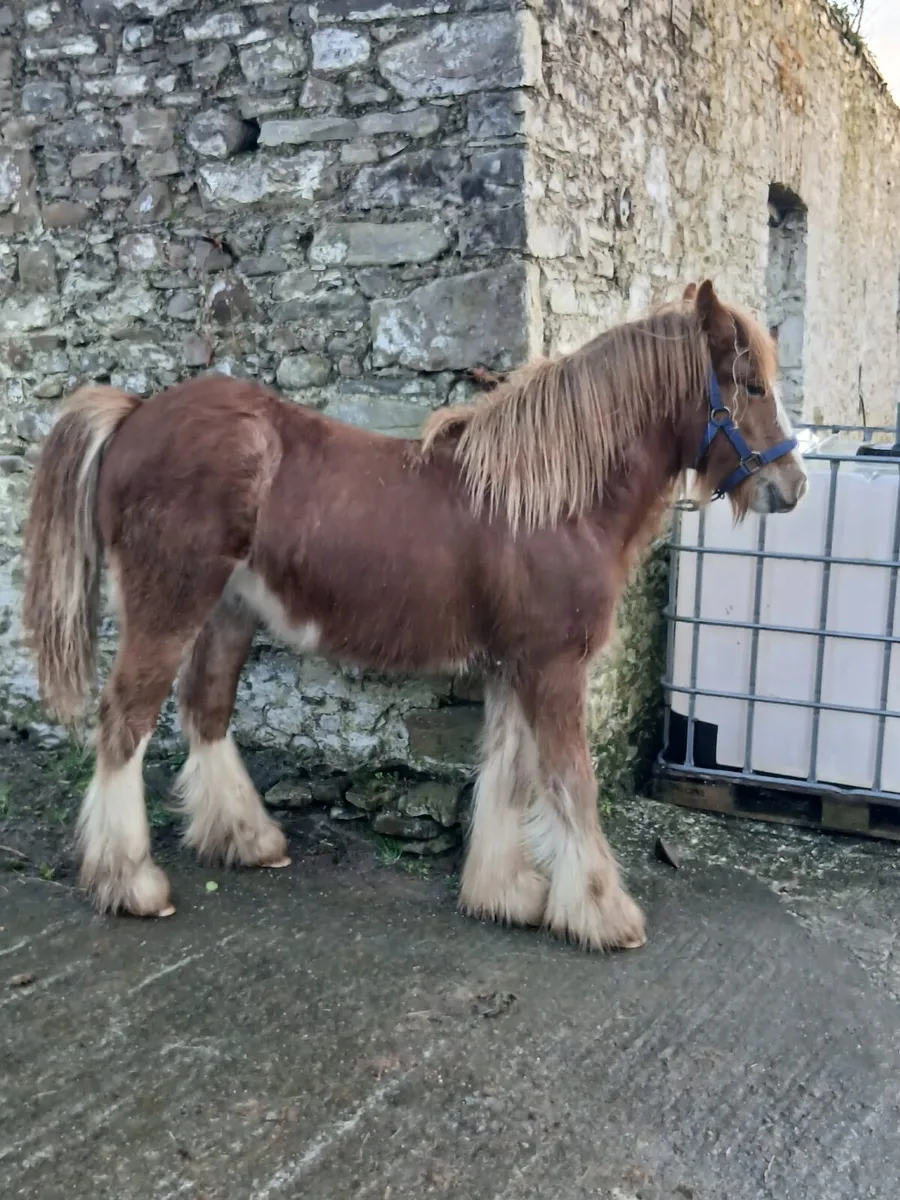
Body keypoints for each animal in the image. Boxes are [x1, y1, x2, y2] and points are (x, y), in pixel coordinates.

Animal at [21, 279, 808, 951]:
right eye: (752, 385)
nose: (792, 487)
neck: (552, 501)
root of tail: (134, 414)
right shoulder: (554, 668)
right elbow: (570, 784)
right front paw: (601, 912)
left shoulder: (515, 667)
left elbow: (510, 775)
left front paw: (506, 895)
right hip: (170, 605)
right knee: (125, 720)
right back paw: (130, 882)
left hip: (228, 612)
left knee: (205, 709)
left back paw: (247, 841)